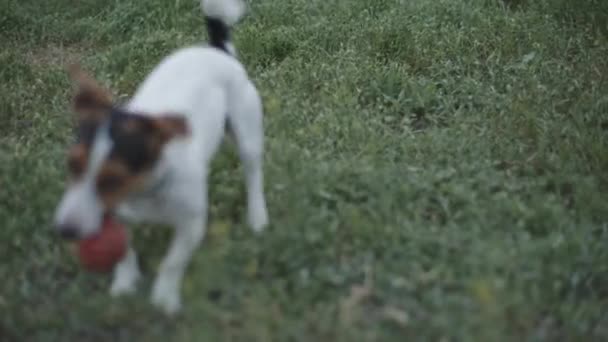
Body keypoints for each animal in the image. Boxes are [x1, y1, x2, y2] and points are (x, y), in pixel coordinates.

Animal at [52, 0, 268, 316]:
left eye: (113, 179)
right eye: (72, 165)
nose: (65, 230)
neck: (146, 187)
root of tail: (216, 50)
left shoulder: (191, 224)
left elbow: (172, 262)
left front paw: (163, 298)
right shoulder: (116, 213)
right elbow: (125, 252)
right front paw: (125, 285)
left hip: (247, 132)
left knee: (253, 174)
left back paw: (257, 217)